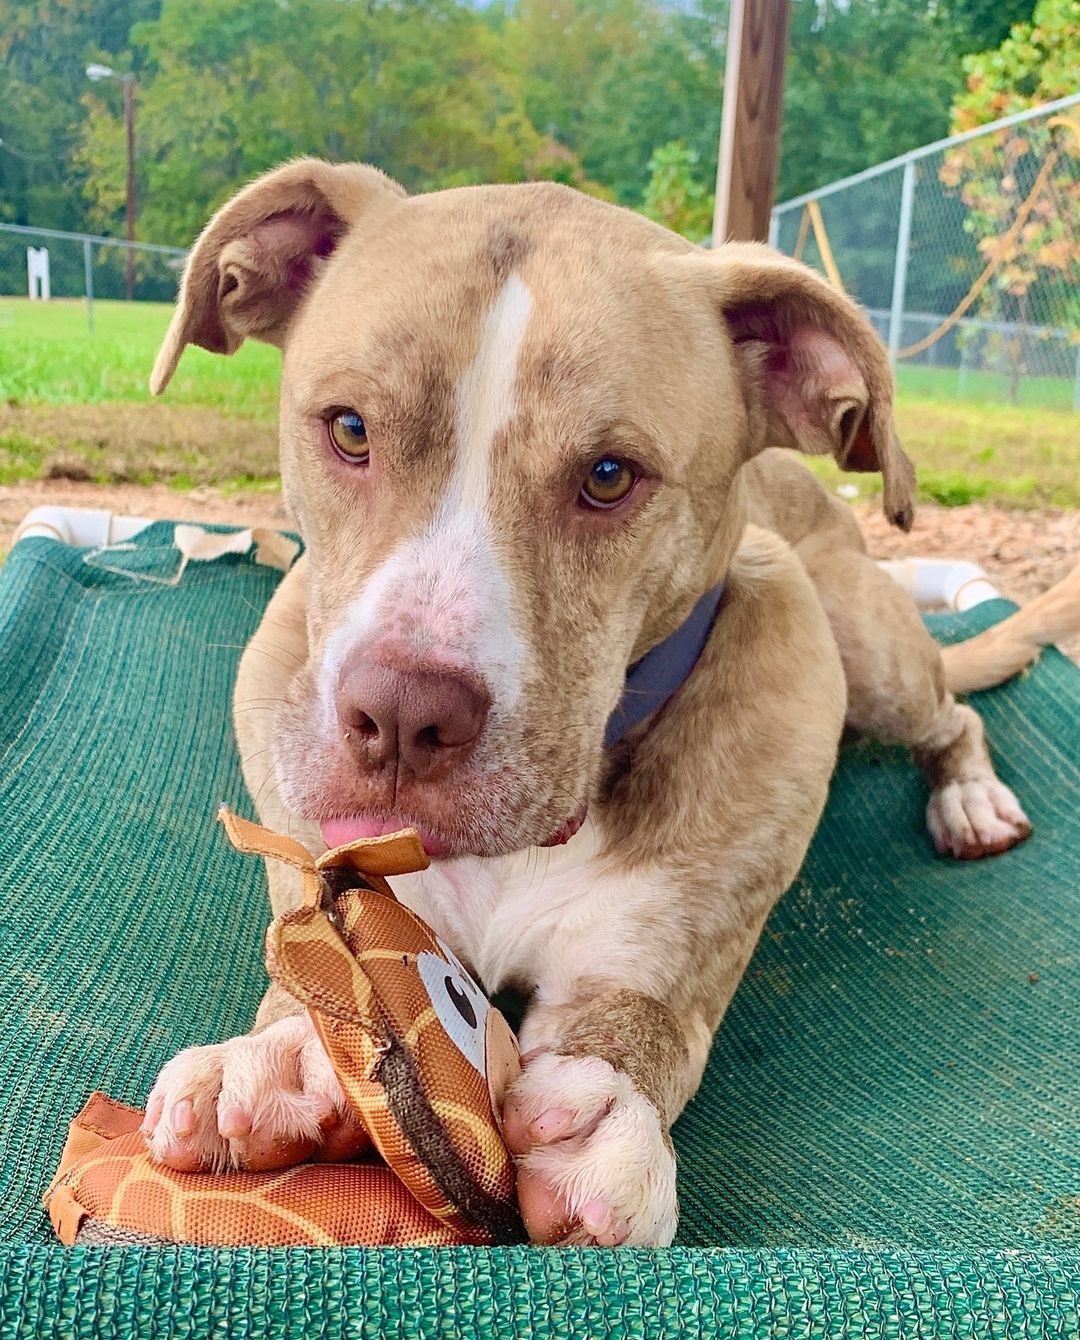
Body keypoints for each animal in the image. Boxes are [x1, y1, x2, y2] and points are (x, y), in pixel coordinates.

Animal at [137, 162, 1071, 1248]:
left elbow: (642, 1022)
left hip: (862, 642)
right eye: (350, 429)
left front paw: (604, 1112)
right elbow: (313, 950)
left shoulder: (654, 950)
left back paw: (971, 799)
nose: (403, 716)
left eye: (610, 475)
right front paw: (285, 1047)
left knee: (955, 714)